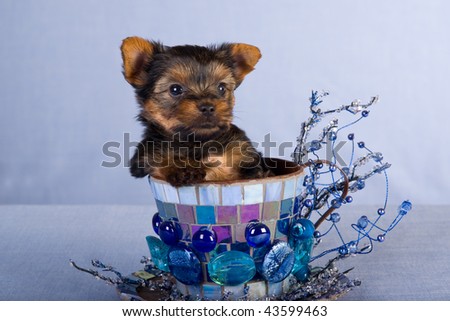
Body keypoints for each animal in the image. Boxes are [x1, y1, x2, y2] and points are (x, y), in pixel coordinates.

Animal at [119, 35, 270, 185]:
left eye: (221, 88)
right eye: (175, 89)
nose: (208, 107)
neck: (197, 142)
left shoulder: (241, 149)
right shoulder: (146, 154)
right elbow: (159, 159)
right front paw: (184, 169)